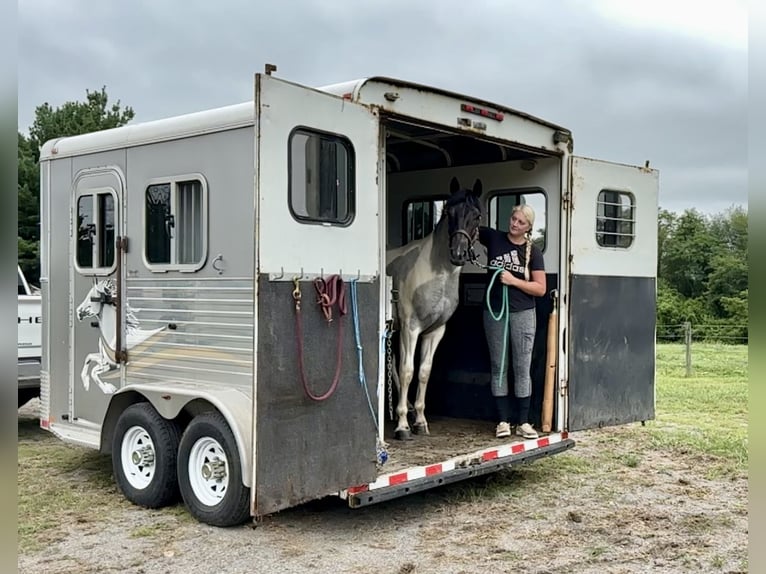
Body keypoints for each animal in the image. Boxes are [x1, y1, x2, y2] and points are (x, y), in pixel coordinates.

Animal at [385, 177, 483, 440]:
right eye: (448, 211)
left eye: (477, 215)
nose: (458, 254)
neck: (438, 275)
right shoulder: (411, 328)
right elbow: (408, 370)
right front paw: (402, 427)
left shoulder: (434, 331)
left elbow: (424, 372)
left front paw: (420, 420)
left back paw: (409, 408)